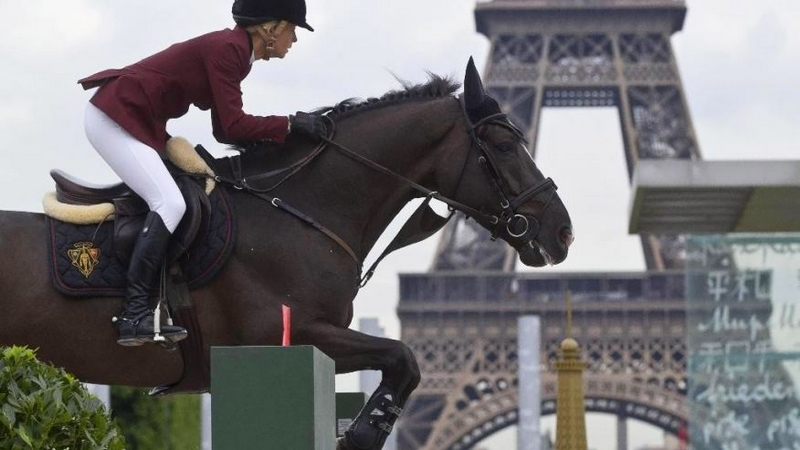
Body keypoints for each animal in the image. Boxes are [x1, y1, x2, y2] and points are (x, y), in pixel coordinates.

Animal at [0, 60, 576, 450]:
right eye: (504, 144)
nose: (563, 231)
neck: (299, 211)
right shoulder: (292, 332)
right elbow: (405, 358)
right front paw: (362, 434)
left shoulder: (318, 340)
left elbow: (402, 362)